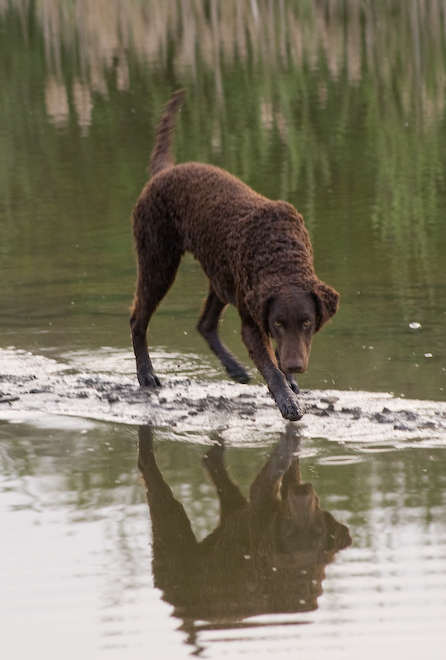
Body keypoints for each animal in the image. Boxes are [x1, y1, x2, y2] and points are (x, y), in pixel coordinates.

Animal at [131, 90, 340, 420]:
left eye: (307, 322)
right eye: (278, 323)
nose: (295, 366)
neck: (281, 256)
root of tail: (166, 171)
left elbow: (277, 356)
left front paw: (290, 383)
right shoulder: (252, 324)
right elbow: (272, 369)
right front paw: (287, 401)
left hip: (222, 278)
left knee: (205, 324)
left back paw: (234, 368)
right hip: (158, 263)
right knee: (138, 320)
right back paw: (146, 375)